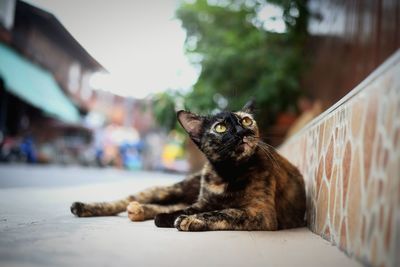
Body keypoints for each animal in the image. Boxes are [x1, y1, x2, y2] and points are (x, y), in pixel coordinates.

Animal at [70, 101, 306, 231]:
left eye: (247, 121)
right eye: (220, 128)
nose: (242, 132)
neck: (226, 173)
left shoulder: (260, 212)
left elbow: (224, 212)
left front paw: (188, 220)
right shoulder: (203, 202)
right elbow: (191, 209)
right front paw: (177, 218)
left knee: (164, 206)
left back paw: (139, 211)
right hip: (171, 189)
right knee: (128, 200)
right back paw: (84, 207)